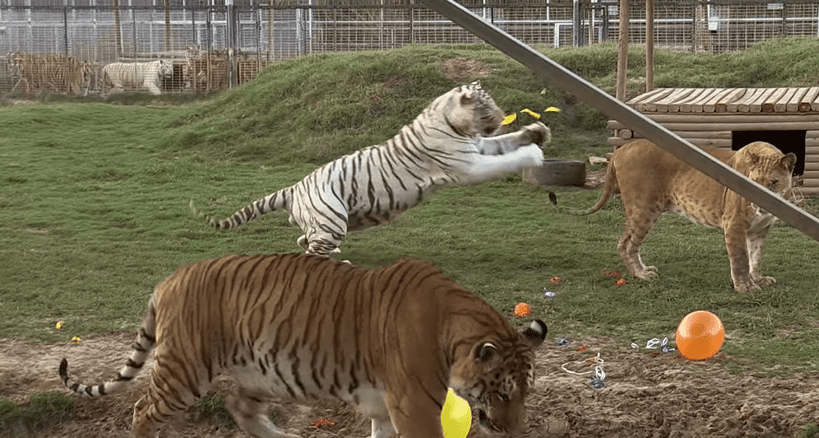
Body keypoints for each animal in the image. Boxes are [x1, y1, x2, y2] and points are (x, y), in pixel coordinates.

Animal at [59, 253, 548, 438]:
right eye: (503, 392)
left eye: (527, 393)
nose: (515, 430)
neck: (452, 331)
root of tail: (169, 279)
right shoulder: (414, 407)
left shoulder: (386, 408)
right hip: (184, 371)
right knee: (143, 412)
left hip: (259, 373)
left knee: (240, 408)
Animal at [190, 82, 550, 256]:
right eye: (487, 107)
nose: (503, 115)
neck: (452, 123)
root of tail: (293, 187)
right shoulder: (468, 165)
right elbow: (503, 159)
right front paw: (533, 155)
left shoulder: (477, 147)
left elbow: (504, 143)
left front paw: (537, 132)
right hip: (333, 218)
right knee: (311, 252)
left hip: (322, 222)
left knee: (303, 240)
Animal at [551, 140, 796, 292]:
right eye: (754, 183)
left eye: (773, 183)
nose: (758, 202)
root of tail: (622, 149)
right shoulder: (733, 223)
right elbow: (741, 259)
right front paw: (745, 286)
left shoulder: (760, 229)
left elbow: (756, 256)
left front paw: (759, 279)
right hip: (645, 209)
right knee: (626, 244)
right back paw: (641, 275)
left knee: (626, 242)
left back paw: (643, 270)